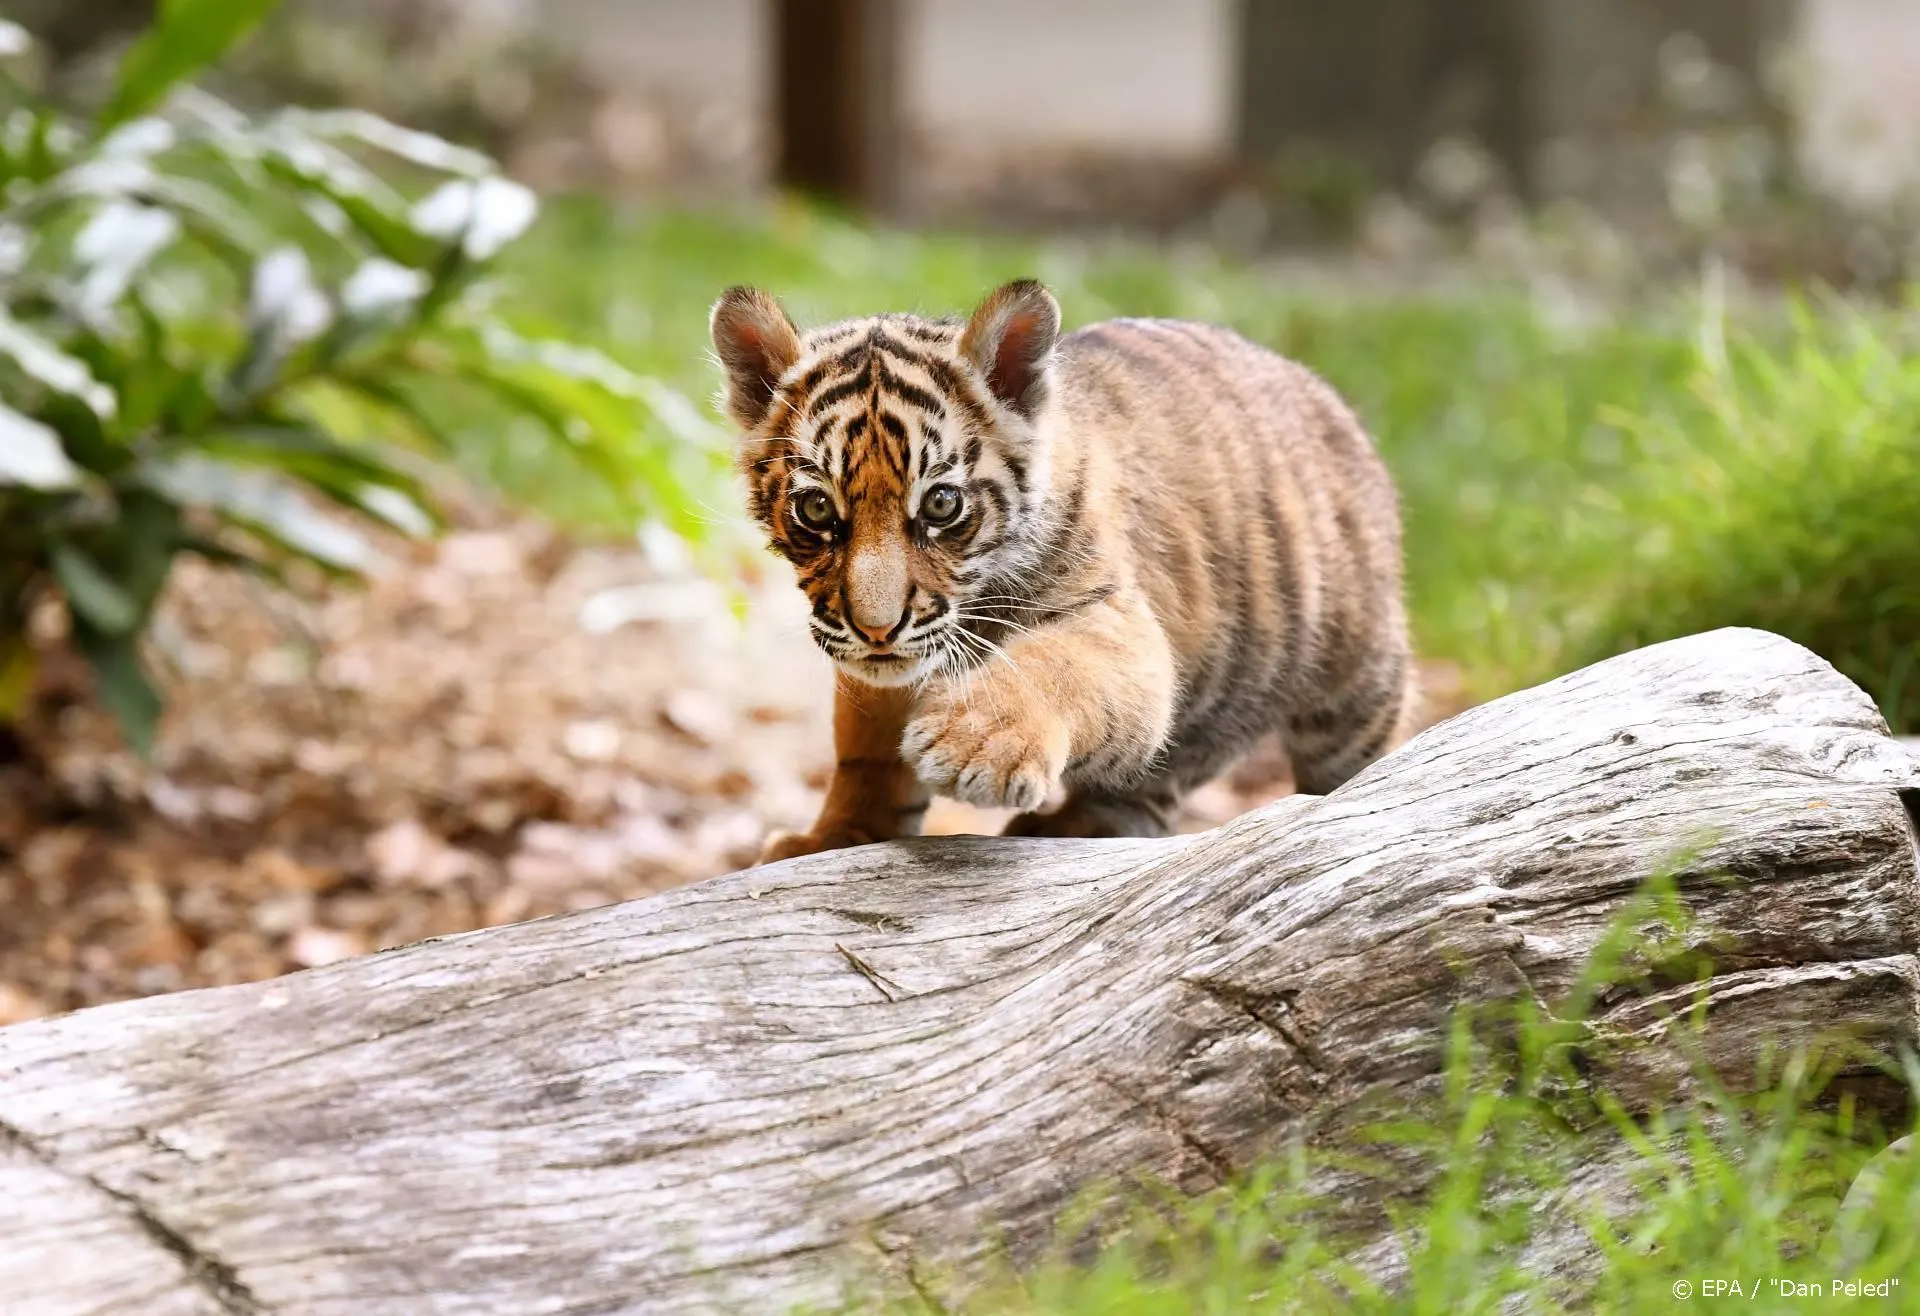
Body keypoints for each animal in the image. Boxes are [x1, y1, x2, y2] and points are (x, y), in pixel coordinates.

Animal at [709, 278, 1418, 861]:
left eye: (941, 504)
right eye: (816, 508)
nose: (877, 629)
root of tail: (1323, 391)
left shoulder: (1121, 624)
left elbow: (1055, 667)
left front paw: (979, 744)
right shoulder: (878, 667)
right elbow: (863, 753)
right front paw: (833, 836)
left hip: (1356, 684)